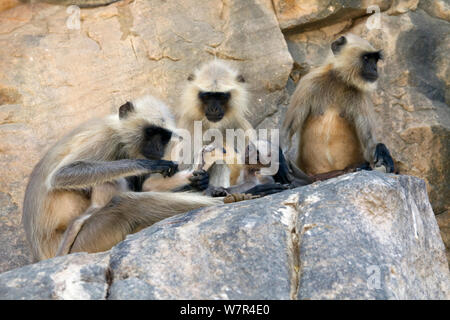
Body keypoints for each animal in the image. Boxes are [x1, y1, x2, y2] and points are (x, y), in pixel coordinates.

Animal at [284, 33, 394, 176]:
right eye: (366, 58)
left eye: (375, 60)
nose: (375, 69)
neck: (339, 81)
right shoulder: (308, 83)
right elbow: (287, 130)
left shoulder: (361, 96)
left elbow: (369, 146)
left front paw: (381, 150)